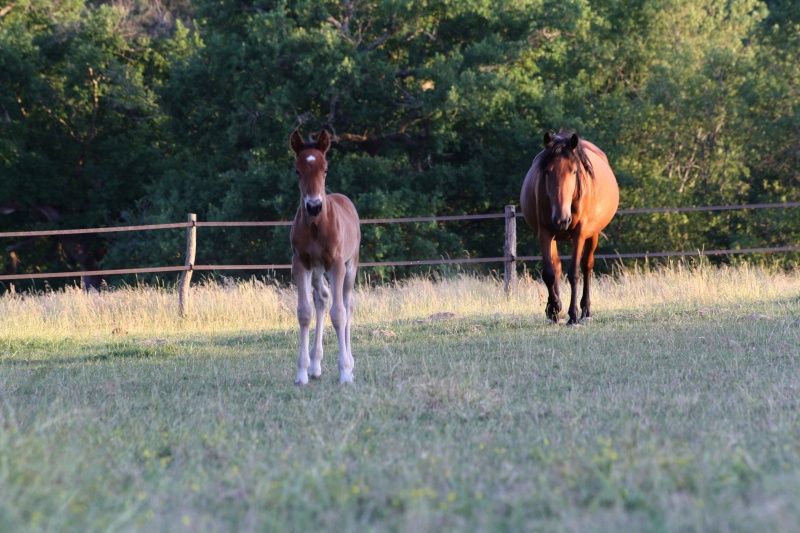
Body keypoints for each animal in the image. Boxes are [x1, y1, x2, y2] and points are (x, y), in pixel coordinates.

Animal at [290, 131, 360, 384]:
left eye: (326, 169)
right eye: (297, 170)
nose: (313, 206)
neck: (315, 227)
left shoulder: (337, 264)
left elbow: (339, 315)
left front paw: (346, 373)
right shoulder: (300, 264)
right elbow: (304, 313)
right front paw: (302, 373)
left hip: (351, 265)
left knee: (347, 304)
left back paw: (350, 363)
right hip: (317, 270)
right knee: (321, 298)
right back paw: (315, 365)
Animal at [520, 130, 620, 324]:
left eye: (574, 171)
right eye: (547, 171)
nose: (562, 219)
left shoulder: (579, 233)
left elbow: (574, 272)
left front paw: (573, 315)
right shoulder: (544, 233)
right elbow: (549, 273)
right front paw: (554, 308)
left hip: (593, 235)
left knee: (587, 266)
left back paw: (585, 310)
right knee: (557, 267)